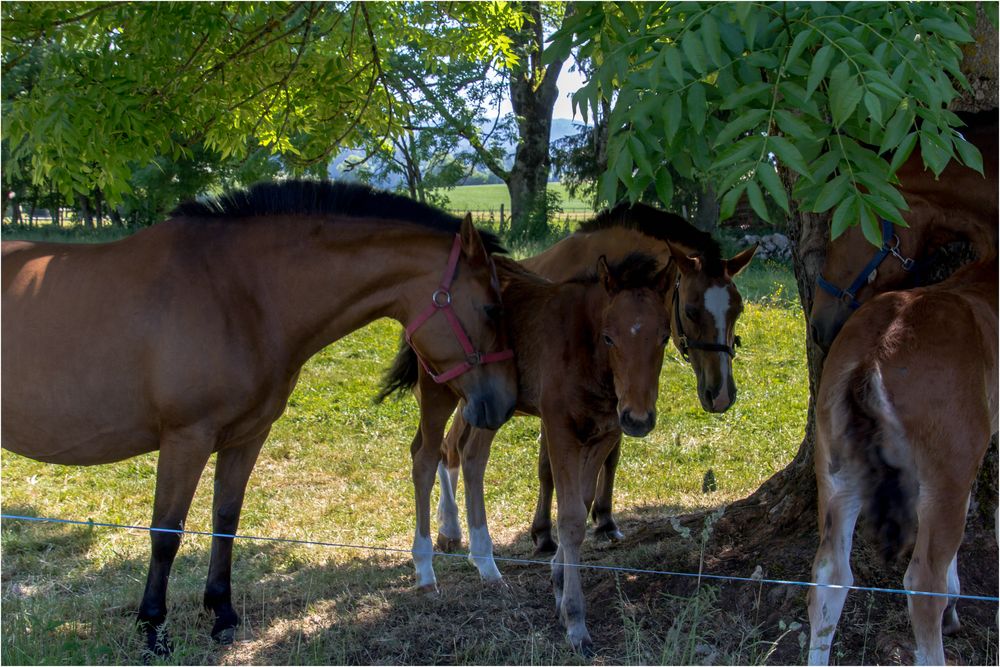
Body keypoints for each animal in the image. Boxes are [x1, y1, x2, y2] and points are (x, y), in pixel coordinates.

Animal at [0, 181, 516, 656]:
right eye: (492, 308)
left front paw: (222, 614)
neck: (238, 294)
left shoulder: (246, 437)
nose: (503, 404)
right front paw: (152, 630)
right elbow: (166, 533)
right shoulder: (186, 438)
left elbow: (225, 519)